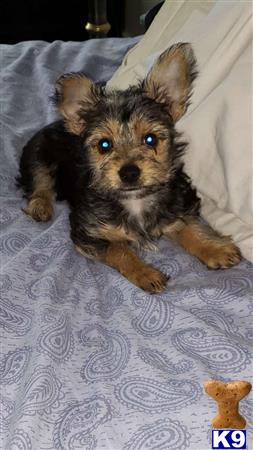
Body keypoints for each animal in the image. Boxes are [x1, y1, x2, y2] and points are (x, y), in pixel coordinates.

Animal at [17, 44, 241, 294]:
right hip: (38, 154)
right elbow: (118, 250)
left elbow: (188, 226)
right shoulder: (87, 233)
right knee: (40, 183)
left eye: (150, 139)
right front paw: (145, 273)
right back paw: (40, 207)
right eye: (104, 145)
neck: (135, 200)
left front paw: (215, 248)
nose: (129, 173)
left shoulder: (175, 207)